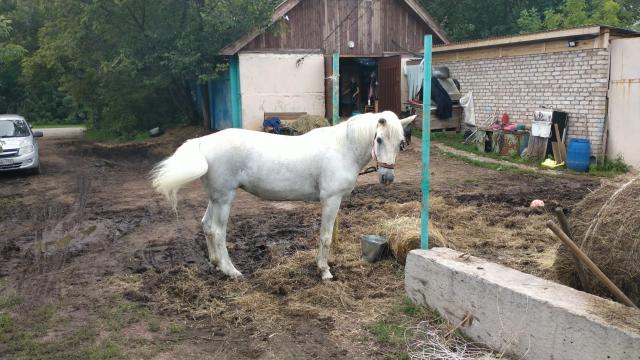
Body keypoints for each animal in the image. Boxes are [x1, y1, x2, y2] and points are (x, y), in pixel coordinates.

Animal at [153, 111, 418, 280]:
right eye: (379, 139)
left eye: (401, 142)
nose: (387, 178)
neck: (343, 148)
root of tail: (203, 142)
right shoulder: (330, 200)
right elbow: (325, 237)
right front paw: (324, 271)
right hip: (225, 198)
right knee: (218, 231)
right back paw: (232, 272)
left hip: (216, 198)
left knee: (207, 226)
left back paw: (216, 264)